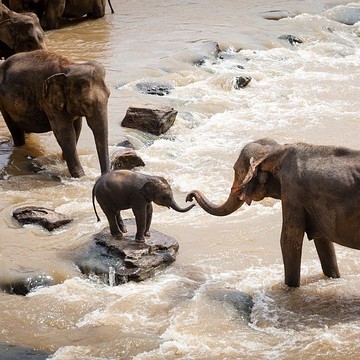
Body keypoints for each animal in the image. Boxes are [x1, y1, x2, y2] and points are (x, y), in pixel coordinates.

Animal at [0, 49, 110, 179]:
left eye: (109, 95)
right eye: (86, 102)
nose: (103, 176)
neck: (70, 66)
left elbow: (77, 129)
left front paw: (64, 161)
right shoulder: (49, 101)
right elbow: (65, 133)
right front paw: (80, 177)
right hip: (3, 104)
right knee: (15, 129)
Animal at [187, 139, 360, 288]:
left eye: (236, 171)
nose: (189, 197)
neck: (276, 151)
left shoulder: (292, 192)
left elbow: (289, 240)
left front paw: (290, 289)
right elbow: (323, 241)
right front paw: (334, 278)